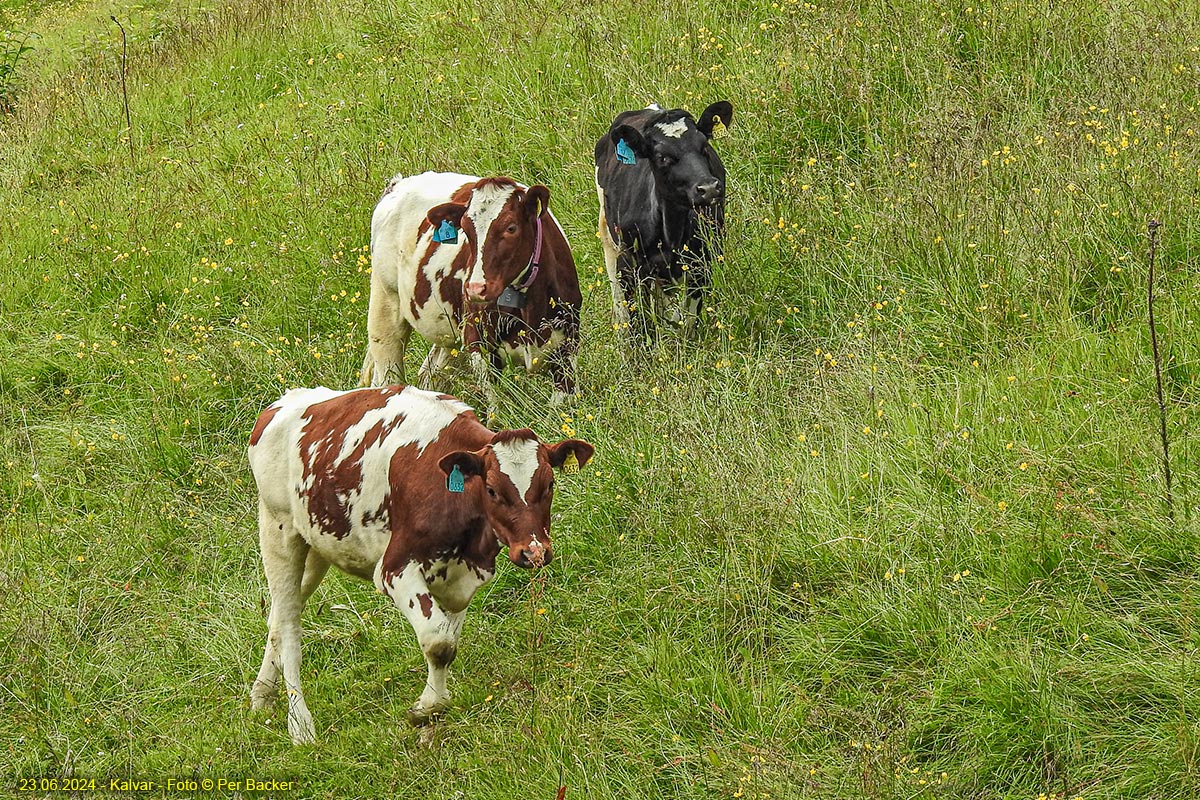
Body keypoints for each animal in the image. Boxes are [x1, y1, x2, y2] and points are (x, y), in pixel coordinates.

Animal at [248, 383, 595, 743]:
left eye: (550, 484)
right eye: (492, 490)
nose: (534, 552)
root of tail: (286, 400)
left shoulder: (461, 577)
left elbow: (449, 640)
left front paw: (432, 701)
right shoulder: (394, 569)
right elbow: (438, 641)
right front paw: (428, 707)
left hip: (317, 545)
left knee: (279, 614)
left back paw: (262, 695)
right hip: (278, 530)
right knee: (290, 624)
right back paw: (300, 726)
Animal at [357, 172, 583, 410]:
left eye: (511, 228)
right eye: (465, 230)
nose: (475, 289)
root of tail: (399, 183)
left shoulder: (568, 344)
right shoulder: (478, 342)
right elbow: (496, 408)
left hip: (451, 331)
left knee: (431, 374)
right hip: (385, 306)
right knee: (388, 375)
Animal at [592, 100, 729, 340]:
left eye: (704, 147)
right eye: (662, 157)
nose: (709, 188)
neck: (670, 233)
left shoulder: (701, 264)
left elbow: (687, 320)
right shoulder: (628, 265)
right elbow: (638, 321)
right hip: (609, 239)